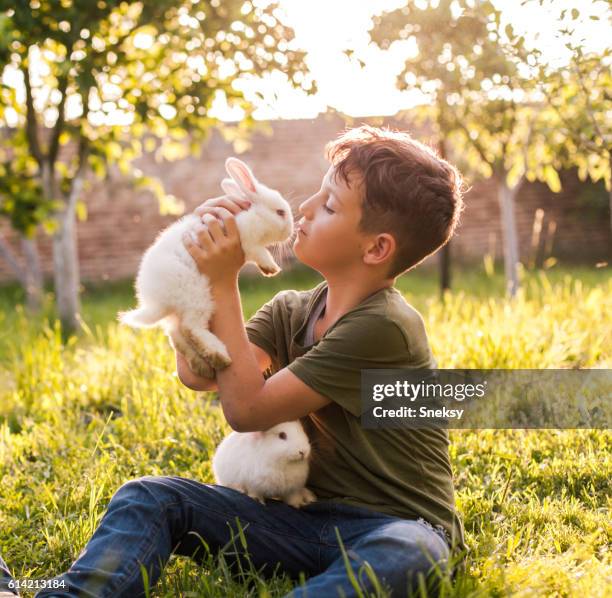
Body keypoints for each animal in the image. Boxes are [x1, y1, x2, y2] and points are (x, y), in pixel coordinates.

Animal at [119, 157, 294, 378]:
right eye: (280, 212)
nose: (290, 231)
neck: (253, 214)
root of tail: (156, 301)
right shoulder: (248, 241)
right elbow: (260, 253)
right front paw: (271, 268)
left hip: (179, 311)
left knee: (176, 335)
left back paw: (202, 366)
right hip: (197, 296)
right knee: (190, 328)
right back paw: (219, 355)